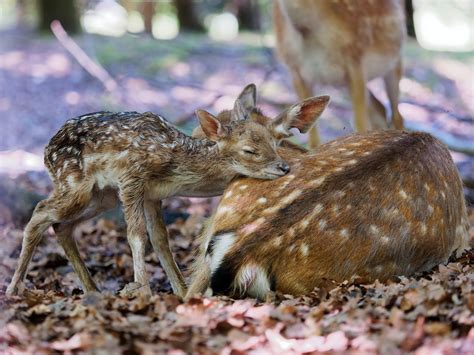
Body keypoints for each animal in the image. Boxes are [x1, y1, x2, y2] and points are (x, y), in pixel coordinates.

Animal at [4, 85, 330, 298]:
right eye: (249, 150)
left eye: (275, 142)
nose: (283, 168)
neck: (175, 163)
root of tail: (45, 151)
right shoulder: (131, 177)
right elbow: (136, 235)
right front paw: (143, 291)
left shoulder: (153, 194)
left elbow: (161, 241)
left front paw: (181, 291)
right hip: (75, 185)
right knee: (40, 212)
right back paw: (13, 287)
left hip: (100, 196)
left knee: (61, 225)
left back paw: (92, 289)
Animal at [274, 0, 408, 147]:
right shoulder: (296, 70)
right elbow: (313, 139)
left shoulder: (356, 59)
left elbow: (360, 124)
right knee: (381, 110)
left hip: (395, 63)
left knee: (397, 115)